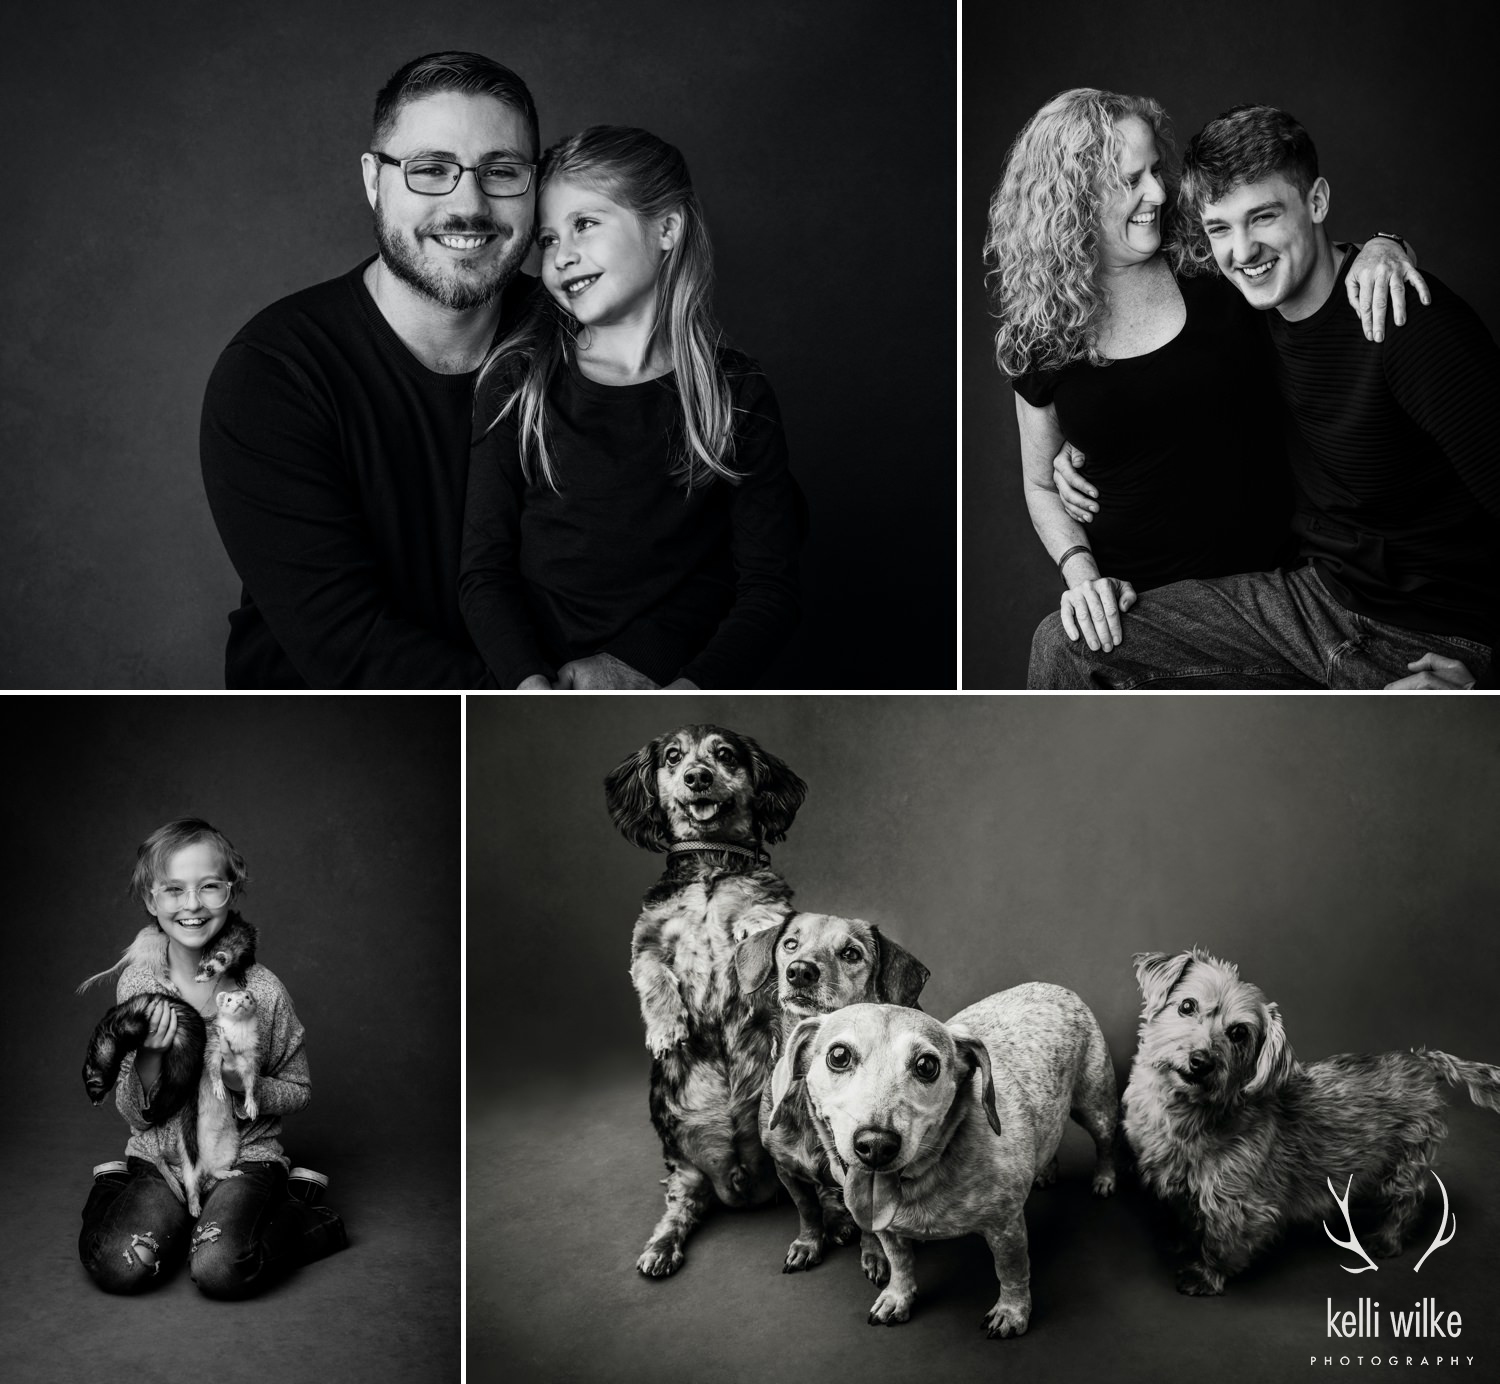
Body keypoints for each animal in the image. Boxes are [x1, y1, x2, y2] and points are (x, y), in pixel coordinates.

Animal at [735, 911, 930, 1283]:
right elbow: (807, 1210)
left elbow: (870, 1222)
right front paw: (808, 1244)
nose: (800, 970)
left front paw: (874, 1254)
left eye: (850, 953)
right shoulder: (786, 1170)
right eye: (790, 943)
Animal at [774, 983, 1116, 1343]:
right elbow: (900, 1263)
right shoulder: (888, 1230)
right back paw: (1046, 1171)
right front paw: (898, 1297)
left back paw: (1105, 1179)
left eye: (926, 1065)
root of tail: (1056, 986)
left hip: (1095, 1107)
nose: (876, 1145)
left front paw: (1012, 1312)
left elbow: (1011, 1271)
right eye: (838, 1056)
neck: (926, 1176)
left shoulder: (1006, 1228)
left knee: (1106, 1143)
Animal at [1122, 953, 1500, 1301]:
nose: (1201, 1061)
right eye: (1187, 1005)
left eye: (1239, 1033)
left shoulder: (1236, 1202)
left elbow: (1220, 1240)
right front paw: (1181, 1243)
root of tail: (1420, 1061)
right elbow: (1188, 1219)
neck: (1186, 1113)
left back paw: (1388, 1240)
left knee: (1405, 1202)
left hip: (1405, 1161)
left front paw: (1205, 1274)